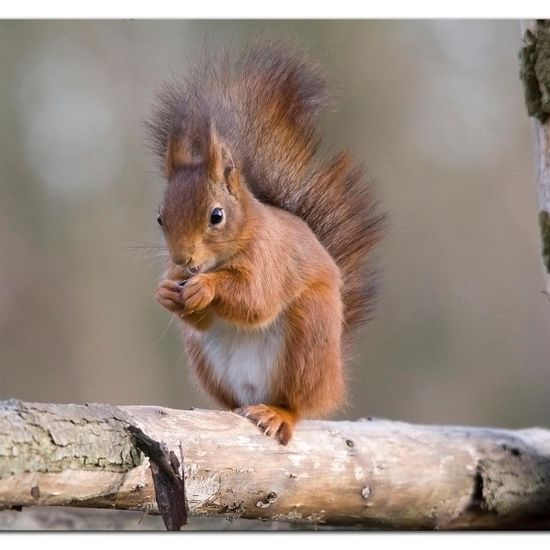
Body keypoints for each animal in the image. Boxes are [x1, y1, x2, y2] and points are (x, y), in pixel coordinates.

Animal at [149, 44, 386, 448]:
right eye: (161, 218)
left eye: (216, 215)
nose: (183, 260)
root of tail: (334, 377)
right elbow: (202, 316)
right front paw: (166, 292)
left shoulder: (268, 261)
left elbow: (255, 300)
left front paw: (205, 287)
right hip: (207, 361)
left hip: (308, 337)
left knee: (298, 403)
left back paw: (278, 414)